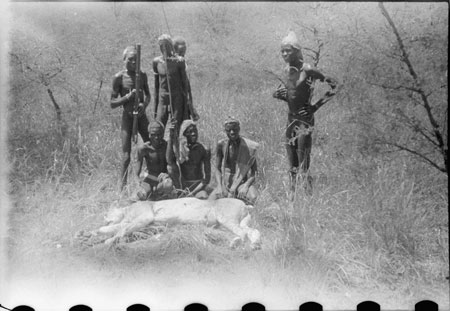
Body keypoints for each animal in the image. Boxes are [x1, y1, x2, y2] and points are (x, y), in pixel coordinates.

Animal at [89, 199, 262, 250]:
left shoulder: (145, 216)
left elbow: (121, 228)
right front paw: (96, 233)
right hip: (238, 221)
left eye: (107, 215)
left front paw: (107, 240)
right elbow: (118, 227)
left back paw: (235, 244)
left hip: (226, 218)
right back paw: (255, 245)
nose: (104, 218)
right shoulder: (143, 223)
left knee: (242, 233)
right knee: (253, 231)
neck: (126, 210)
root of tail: (245, 204)